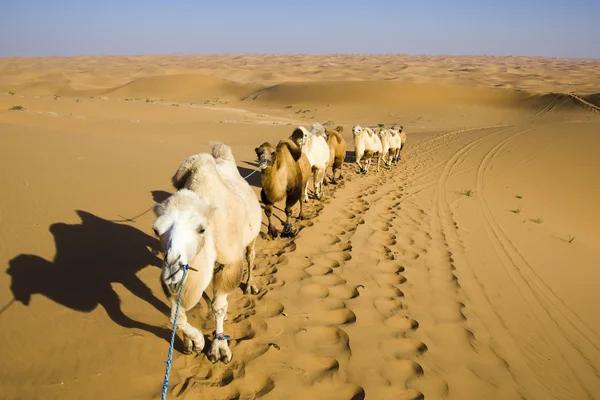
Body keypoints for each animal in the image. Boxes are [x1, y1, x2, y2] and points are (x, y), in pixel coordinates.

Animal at [151, 142, 262, 364]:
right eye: (156, 230)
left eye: (201, 229)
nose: (172, 271)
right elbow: (177, 314)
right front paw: (193, 342)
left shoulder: (228, 261)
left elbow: (218, 306)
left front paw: (218, 347)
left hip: (251, 235)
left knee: (250, 256)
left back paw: (250, 285)